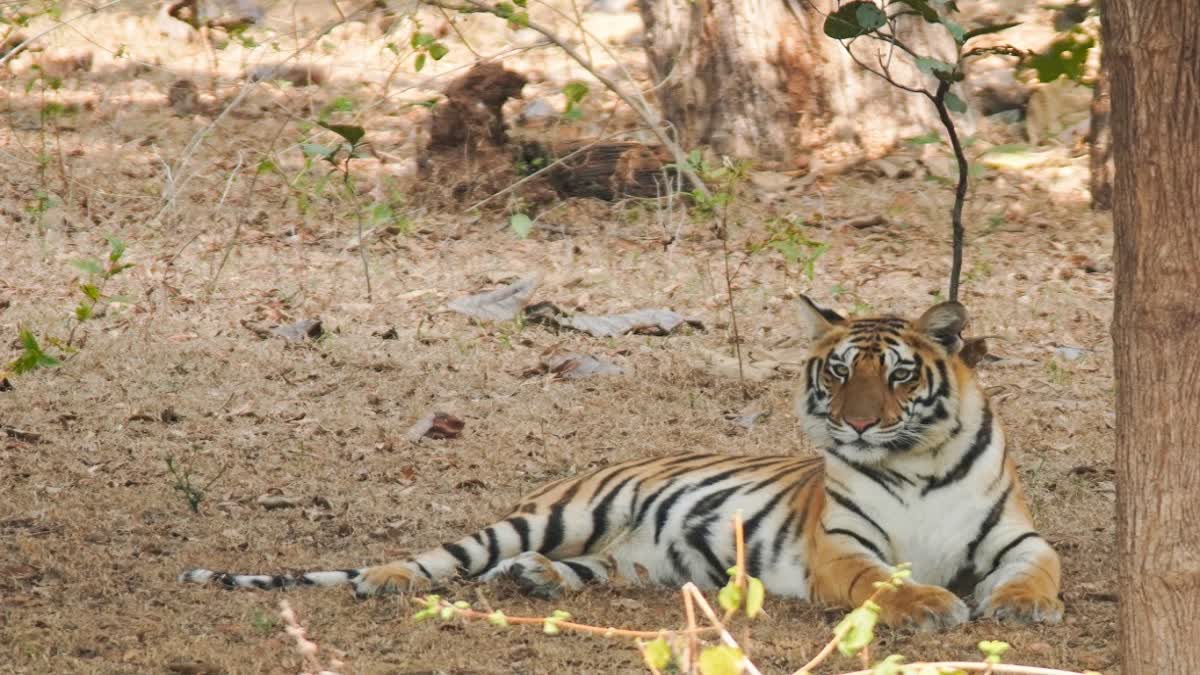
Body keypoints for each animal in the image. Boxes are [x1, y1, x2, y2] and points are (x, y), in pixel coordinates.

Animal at [180, 297, 1063, 629]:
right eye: (840, 372)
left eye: (900, 375)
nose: (858, 422)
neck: (916, 463)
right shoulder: (841, 547)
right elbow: (886, 580)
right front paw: (931, 604)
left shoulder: (1019, 536)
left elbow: (1034, 570)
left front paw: (1019, 608)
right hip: (556, 511)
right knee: (445, 555)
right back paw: (388, 579)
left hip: (642, 562)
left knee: (581, 570)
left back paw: (537, 580)